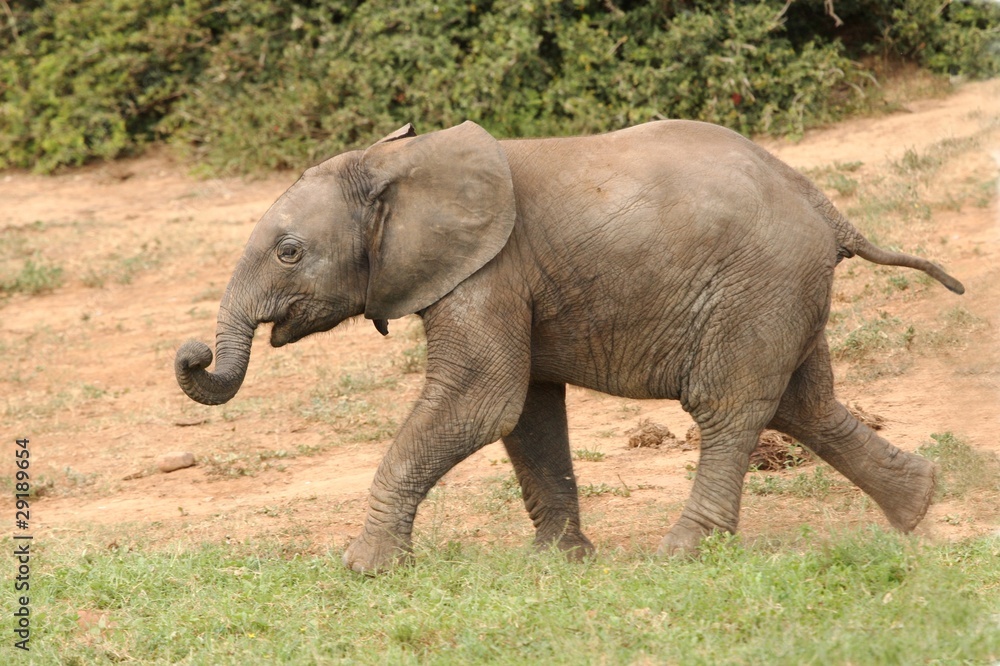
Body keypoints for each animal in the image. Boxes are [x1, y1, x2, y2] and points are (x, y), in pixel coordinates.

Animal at [176, 118, 964, 572]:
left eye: (288, 253)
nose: (193, 354)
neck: (398, 164)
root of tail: (827, 209)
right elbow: (524, 412)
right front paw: (559, 565)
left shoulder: (488, 272)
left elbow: (483, 400)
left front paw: (363, 569)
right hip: (782, 292)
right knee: (806, 406)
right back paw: (918, 509)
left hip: (756, 286)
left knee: (730, 409)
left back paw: (681, 556)